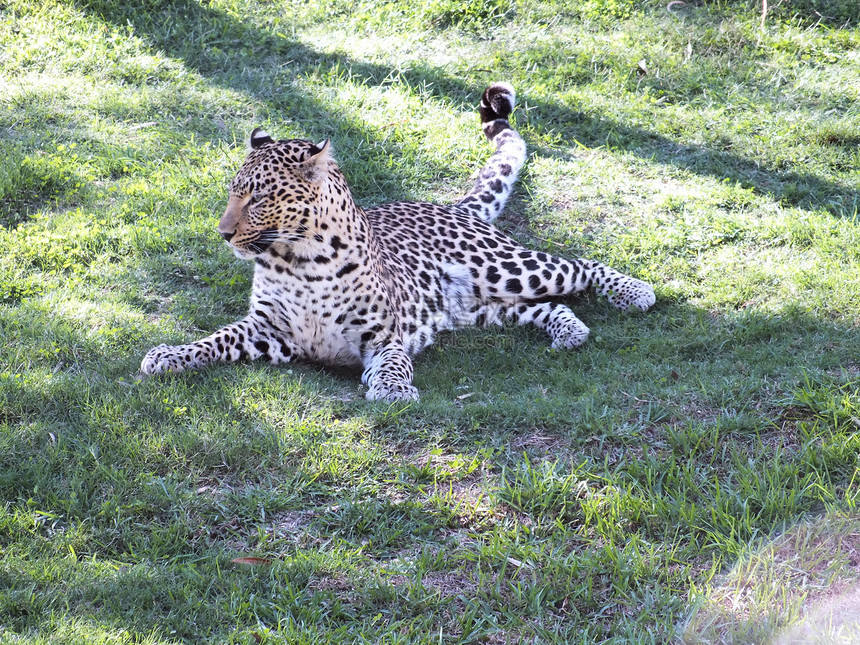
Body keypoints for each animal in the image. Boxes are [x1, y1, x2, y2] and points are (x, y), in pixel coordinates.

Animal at [141, 83, 656, 400]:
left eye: (259, 198)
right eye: (233, 192)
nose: (224, 232)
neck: (298, 258)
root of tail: (455, 207)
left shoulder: (381, 336)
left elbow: (392, 363)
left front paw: (393, 391)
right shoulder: (268, 330)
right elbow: (215, 338)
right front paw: (168, 355)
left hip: (506, 268)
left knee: (577, 265)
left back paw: (635, 292)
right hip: (483, 308)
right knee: (547, 306)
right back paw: (570, 331)